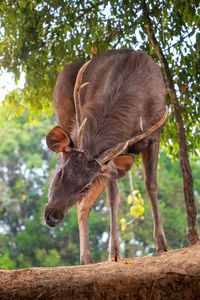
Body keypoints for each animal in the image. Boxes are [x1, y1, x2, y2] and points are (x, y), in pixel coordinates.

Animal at [44, 49, 168, 264]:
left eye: (85, 186)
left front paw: (162, 244)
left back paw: (86, 259)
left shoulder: (154, 137)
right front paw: (115, 251)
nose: (52, 216)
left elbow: (151, 187)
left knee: (84, 205)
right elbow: (114, 197)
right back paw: (86, 257)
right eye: (60, 173)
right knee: (85, 204)